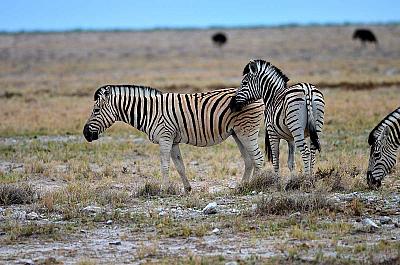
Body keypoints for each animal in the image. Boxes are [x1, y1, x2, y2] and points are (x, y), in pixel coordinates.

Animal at [83, 84, 266, 190]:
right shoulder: (173, 141)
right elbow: (179, 166)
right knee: (249, 160)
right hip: (237, 133)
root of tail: (258, 96)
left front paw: (163, 189)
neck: (149, 112)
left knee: (258, 159)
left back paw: (255, 186)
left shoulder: (165, 137)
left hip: (247, 131)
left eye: (96, 111)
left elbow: (164, 165)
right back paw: (242, 186)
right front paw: (187, 189)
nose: (85, 134)